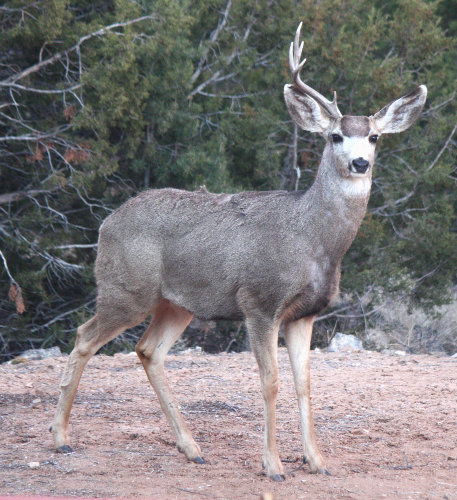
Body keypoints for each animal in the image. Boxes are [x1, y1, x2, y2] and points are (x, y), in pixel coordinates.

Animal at [50, 23, 428, 480]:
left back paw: (191, 448)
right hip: (126, 289)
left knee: (148, 350)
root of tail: (106, 223)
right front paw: (273, 465)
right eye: (335, 135)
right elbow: (271, 383)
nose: (359, 163)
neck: (313, 242)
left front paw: (317, 460)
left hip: (177, 303)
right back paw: (60, 437)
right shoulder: (259, 302)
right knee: (84, 337)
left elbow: (304, 383)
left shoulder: (305, 314)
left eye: (374, 137)